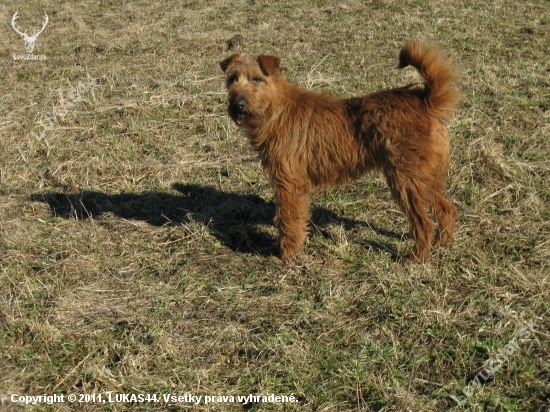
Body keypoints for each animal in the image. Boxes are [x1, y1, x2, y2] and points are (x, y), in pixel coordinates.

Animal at [222, 40, 460, 262]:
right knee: (447, 209)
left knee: (424, 222)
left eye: (256, 79)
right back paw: (441, 244)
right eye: (232, 79)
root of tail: (424, 101)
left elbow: (288, 220)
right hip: (426, 178)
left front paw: (285, 254)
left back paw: (415, 257)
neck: (275, 109)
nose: (238, 104)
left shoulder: (288, 184)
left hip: (406, 179)